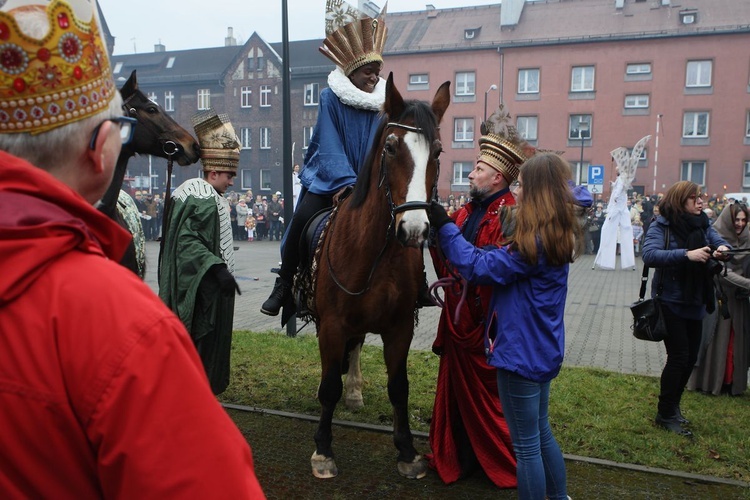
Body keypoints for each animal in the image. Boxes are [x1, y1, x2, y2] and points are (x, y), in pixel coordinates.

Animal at [308, 75, 450, 480]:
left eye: (437, 152)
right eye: (389, 147)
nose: (415, 229)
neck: (376, 252)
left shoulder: (399, 326)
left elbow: (399, 386)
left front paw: (407, 450)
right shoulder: (332, 325)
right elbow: (328, 386)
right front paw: (323, 449)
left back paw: (355, 390)